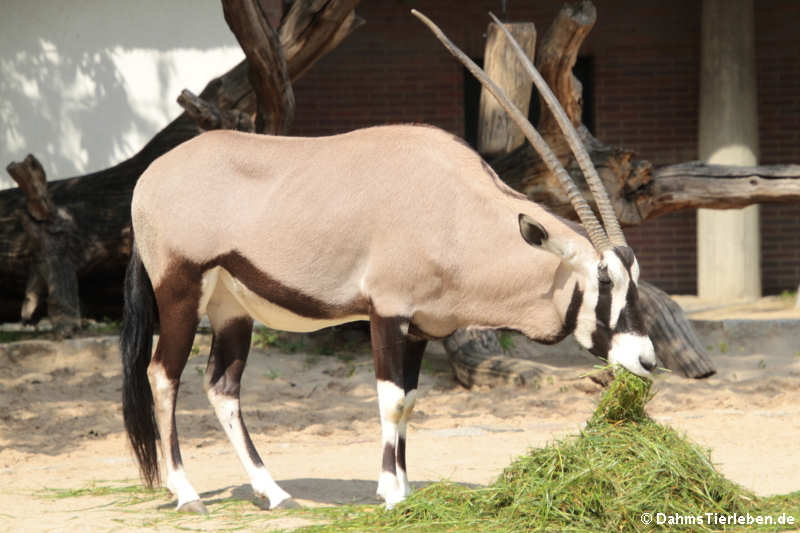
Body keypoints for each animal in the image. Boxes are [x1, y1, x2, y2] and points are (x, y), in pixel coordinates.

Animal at [120, 11, 656, 512]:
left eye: (633, 277)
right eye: (603, 280)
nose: (646, 360)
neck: (454, 208)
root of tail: (148, 179)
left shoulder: (419, 327)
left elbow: (412, 402)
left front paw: (404, 487)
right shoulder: (387, 313)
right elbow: (391, 401)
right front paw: (392, 495)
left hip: (232, 308)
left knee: (222, 387)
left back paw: (272, 492)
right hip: (181, 291)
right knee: (162, 376)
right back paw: (186, 492)